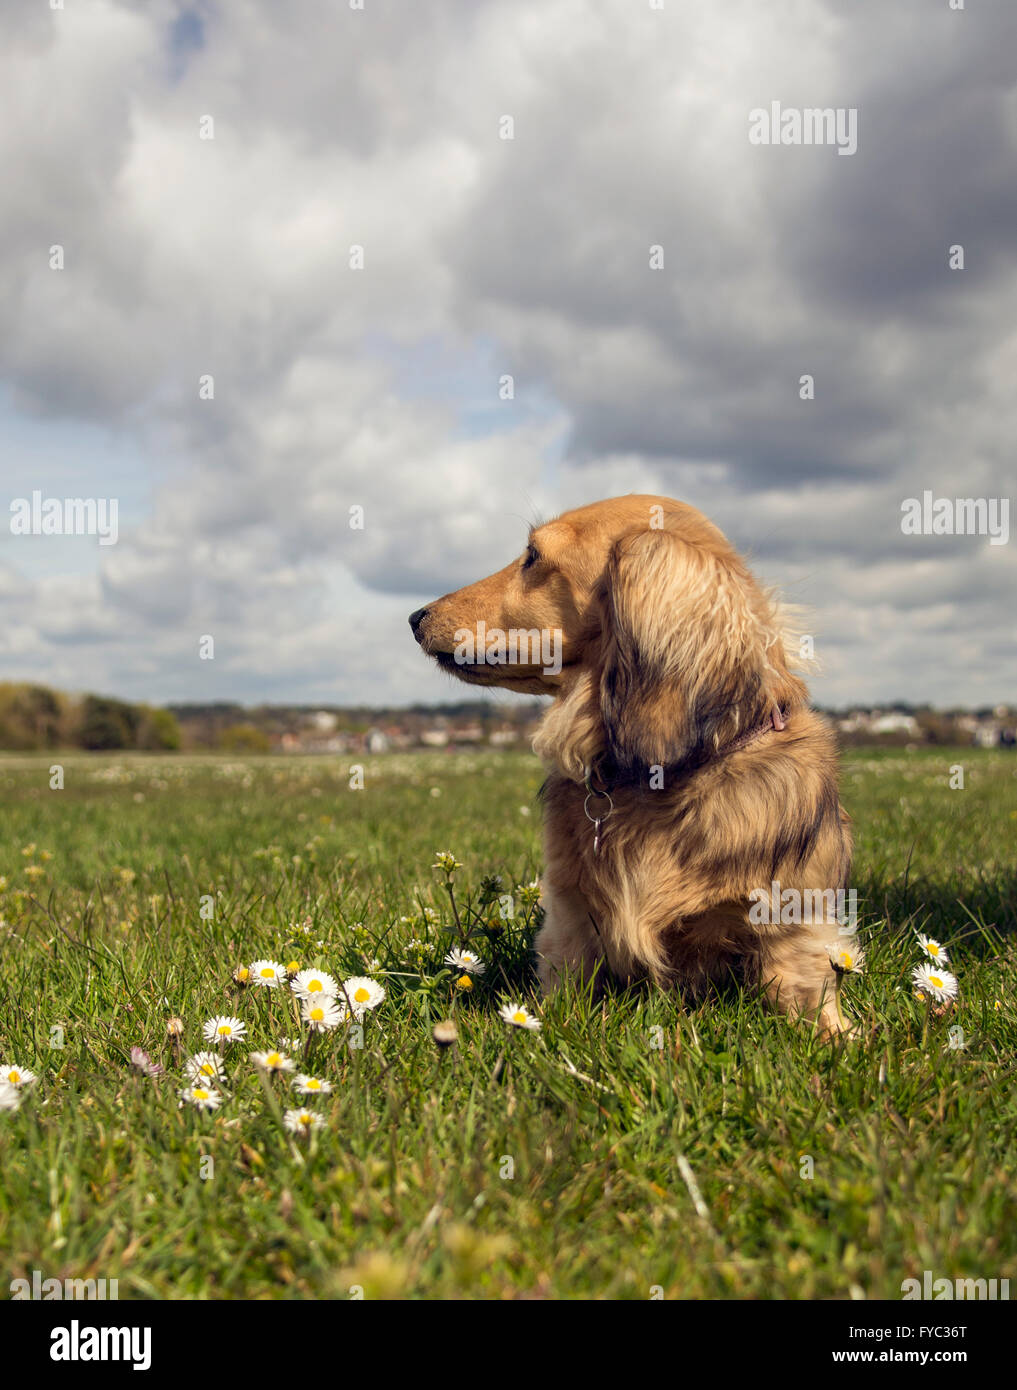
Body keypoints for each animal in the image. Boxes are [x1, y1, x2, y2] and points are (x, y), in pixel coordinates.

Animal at [408, 494, 855, 1039]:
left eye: (532, 556)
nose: (415, 617)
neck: (657, 778)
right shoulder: (570, 919)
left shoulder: (790, 925)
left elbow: (801, 990)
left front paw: (835, 1037)